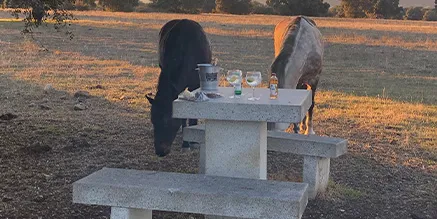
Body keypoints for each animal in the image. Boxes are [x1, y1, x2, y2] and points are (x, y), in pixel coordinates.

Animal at [145, 18, 211, 156]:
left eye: (167, 120)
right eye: (153, 120)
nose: (160, 151)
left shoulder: (196, 84)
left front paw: (192, 142)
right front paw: (186, 142)